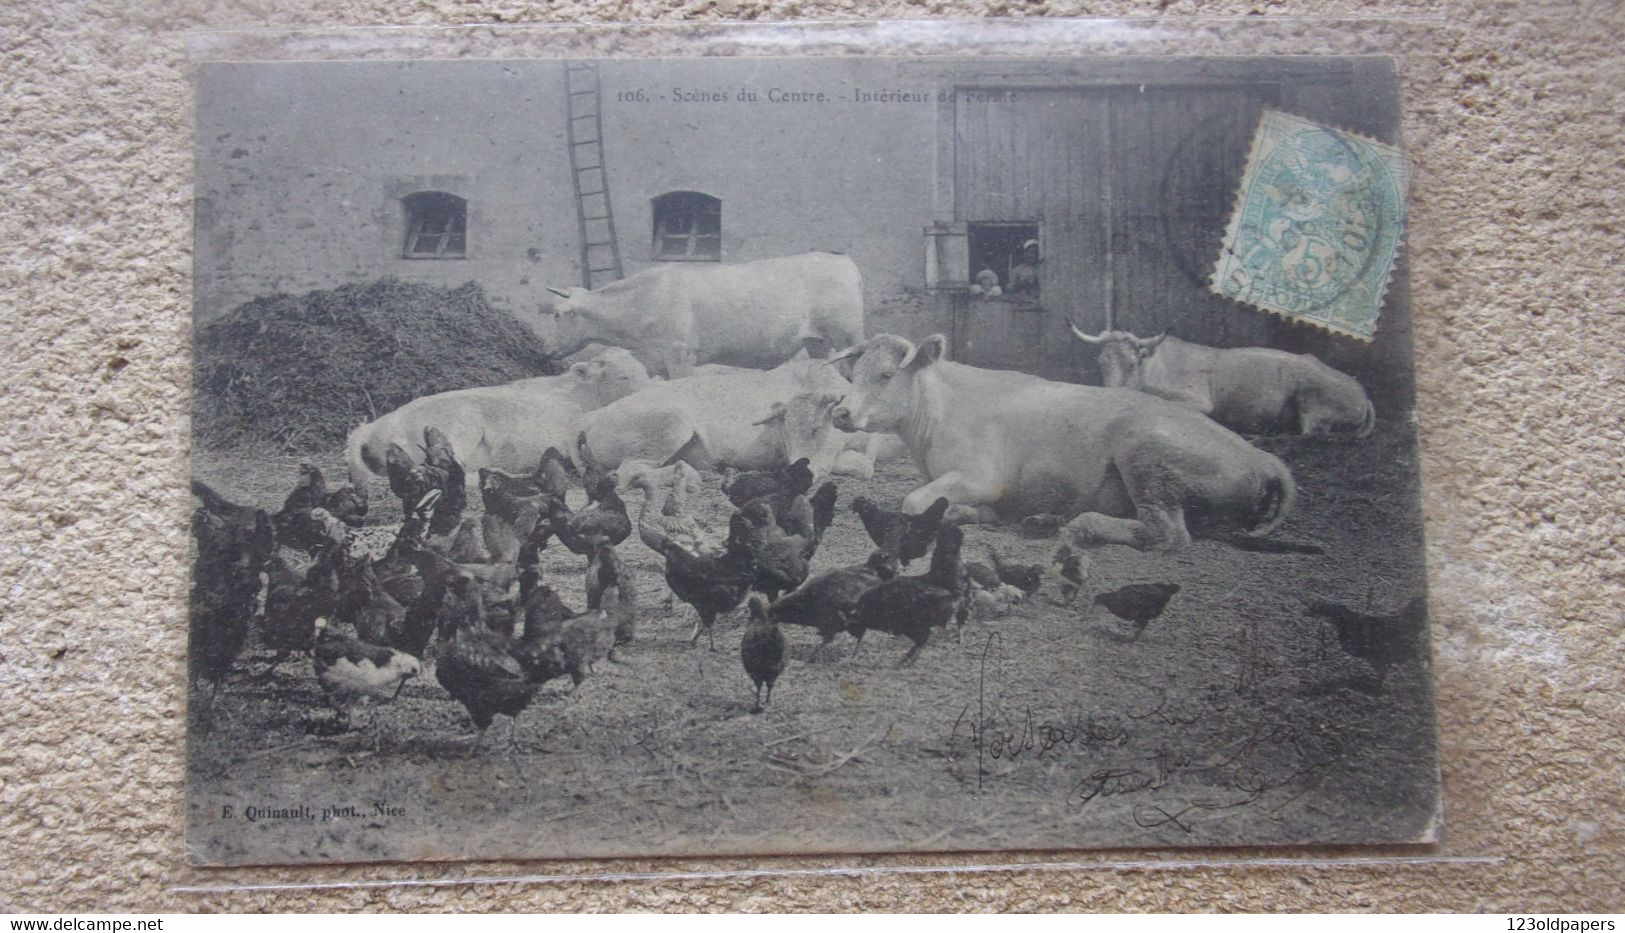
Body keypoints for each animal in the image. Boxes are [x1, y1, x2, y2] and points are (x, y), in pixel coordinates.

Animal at [346, 346, 650, 490]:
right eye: (622, 376)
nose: (651, 388)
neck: (581, 396)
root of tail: (375, 426)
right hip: (457, 430)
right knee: (451, 471)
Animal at [529, 253, 864, 378]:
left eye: (557, 315)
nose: (544, 350)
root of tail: (842, 260)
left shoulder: (680, 357)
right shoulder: (655, 363)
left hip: (848, 337)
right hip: (816, 342)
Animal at [832, 333, 1300, 552]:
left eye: (885, 375)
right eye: (853, 373)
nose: (842, 413)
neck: (939, 411)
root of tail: (1261, 458)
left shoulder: (982, 476)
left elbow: (914, 502)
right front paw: (977, 515)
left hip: (1145, 456)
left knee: (1167, 532)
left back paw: (1080, 525)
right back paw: (1041, 519)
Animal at [1072, 321, 1378, 438]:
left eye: (1132, 363)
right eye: (1101, 363)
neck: (1154, 365)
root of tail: (1362, 394)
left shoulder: (1198, 401)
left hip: (1314, 407)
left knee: (1310, 434)